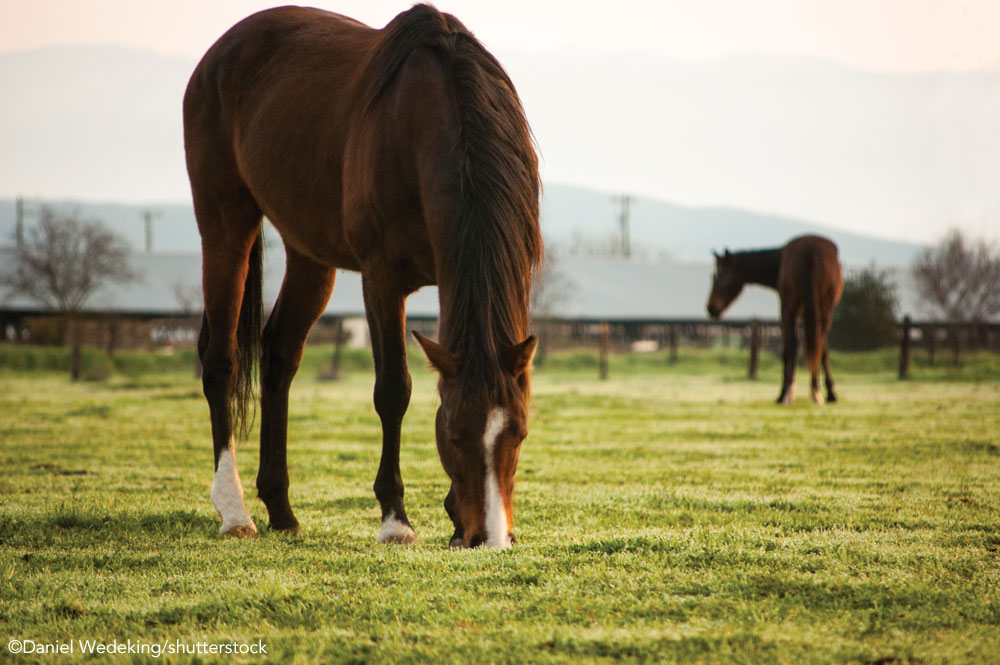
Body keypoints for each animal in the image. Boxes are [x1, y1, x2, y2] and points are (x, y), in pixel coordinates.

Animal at [182, 2, 540, 548]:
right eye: (454, 433)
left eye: (518, 432)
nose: (490, 538)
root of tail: (218, 55)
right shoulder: (382, 278)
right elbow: (393, 391)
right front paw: (396, 519)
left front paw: (454, 518)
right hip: (226, 224)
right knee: (221, 359)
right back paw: (234, 509)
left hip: (310, 254)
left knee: (279, 354)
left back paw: (281, 508)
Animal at [704, 236, 844, 408]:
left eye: (719, 276)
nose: (711, 307)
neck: (778, 261)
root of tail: (810, 252)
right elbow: (821, 349)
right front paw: (828, 393)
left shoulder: (786, 311)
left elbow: (791, 349)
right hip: (821, 309)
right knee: (810, 345)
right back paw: (811, 392)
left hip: (792, 309)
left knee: (793, 346)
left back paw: (787, 393)